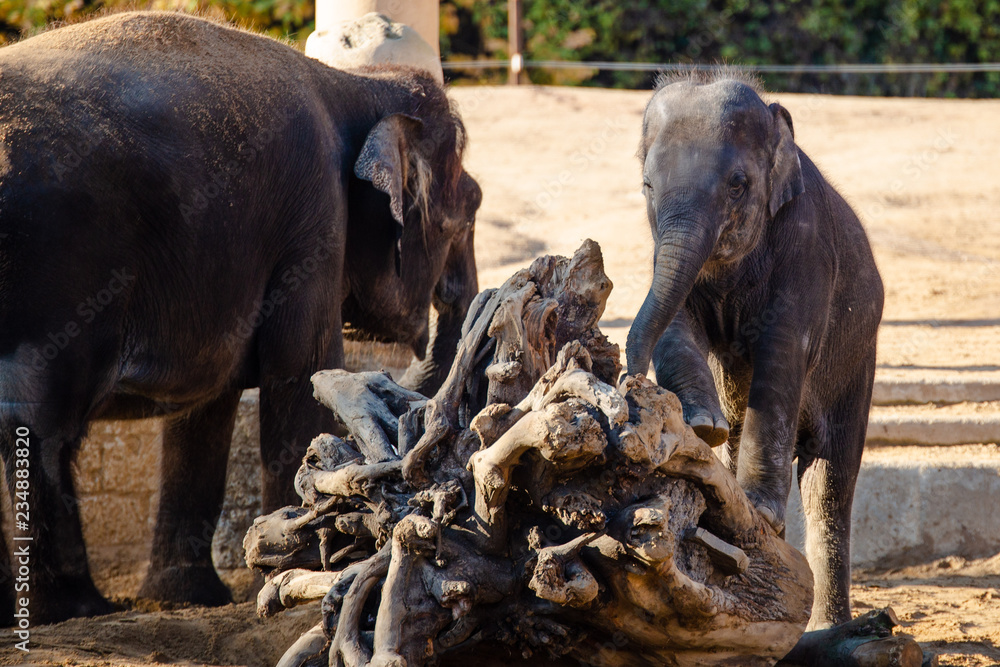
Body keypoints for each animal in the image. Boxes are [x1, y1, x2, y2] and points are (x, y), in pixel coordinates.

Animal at [0, 11, 481, 625]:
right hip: (59, 274)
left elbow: (205, 410)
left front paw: (187, 598)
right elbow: (303, 379)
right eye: (468, 212)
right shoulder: (314, 223)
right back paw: (78, 609)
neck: (354, 84)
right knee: (39, 422)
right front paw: (293, 568)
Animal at [625, 71, 884, 629]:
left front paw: (761, 511)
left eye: (738, 184)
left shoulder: (808, 247)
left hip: (859, 364)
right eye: (647, 186)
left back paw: (831, 627)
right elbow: (677, 322)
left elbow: (782, 352)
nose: (628, 379)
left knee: (829, 487)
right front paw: (703, 425)